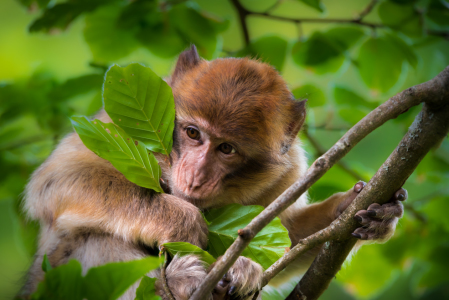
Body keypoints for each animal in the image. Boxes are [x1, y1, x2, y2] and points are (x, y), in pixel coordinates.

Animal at [21, 45, 406, 300]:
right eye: (193, 133)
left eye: (227, 149)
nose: (194, 177)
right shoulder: (114, 130)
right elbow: (56, 181)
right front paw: (181, 220)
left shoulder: (287, 175)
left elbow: (289, 237)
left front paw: (365, 210)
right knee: (93, 237)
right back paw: (174, 284)